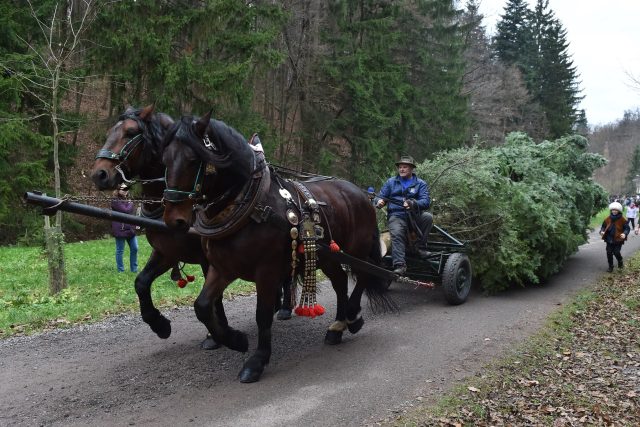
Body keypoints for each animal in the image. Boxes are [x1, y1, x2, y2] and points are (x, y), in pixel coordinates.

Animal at [161, 113, 390, 384]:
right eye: (164, 159)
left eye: (193, 160)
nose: (173, 219)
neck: (251, 206)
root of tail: (362, 194)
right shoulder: (222, 268)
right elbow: (203, 306)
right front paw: (236, 340)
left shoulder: (267, 272)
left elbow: (262, 314)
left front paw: (257, 361)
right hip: (329, 257)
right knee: (340, 282)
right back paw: (338, 326)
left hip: (356, 250)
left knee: (363, 275)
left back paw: (352, 316)